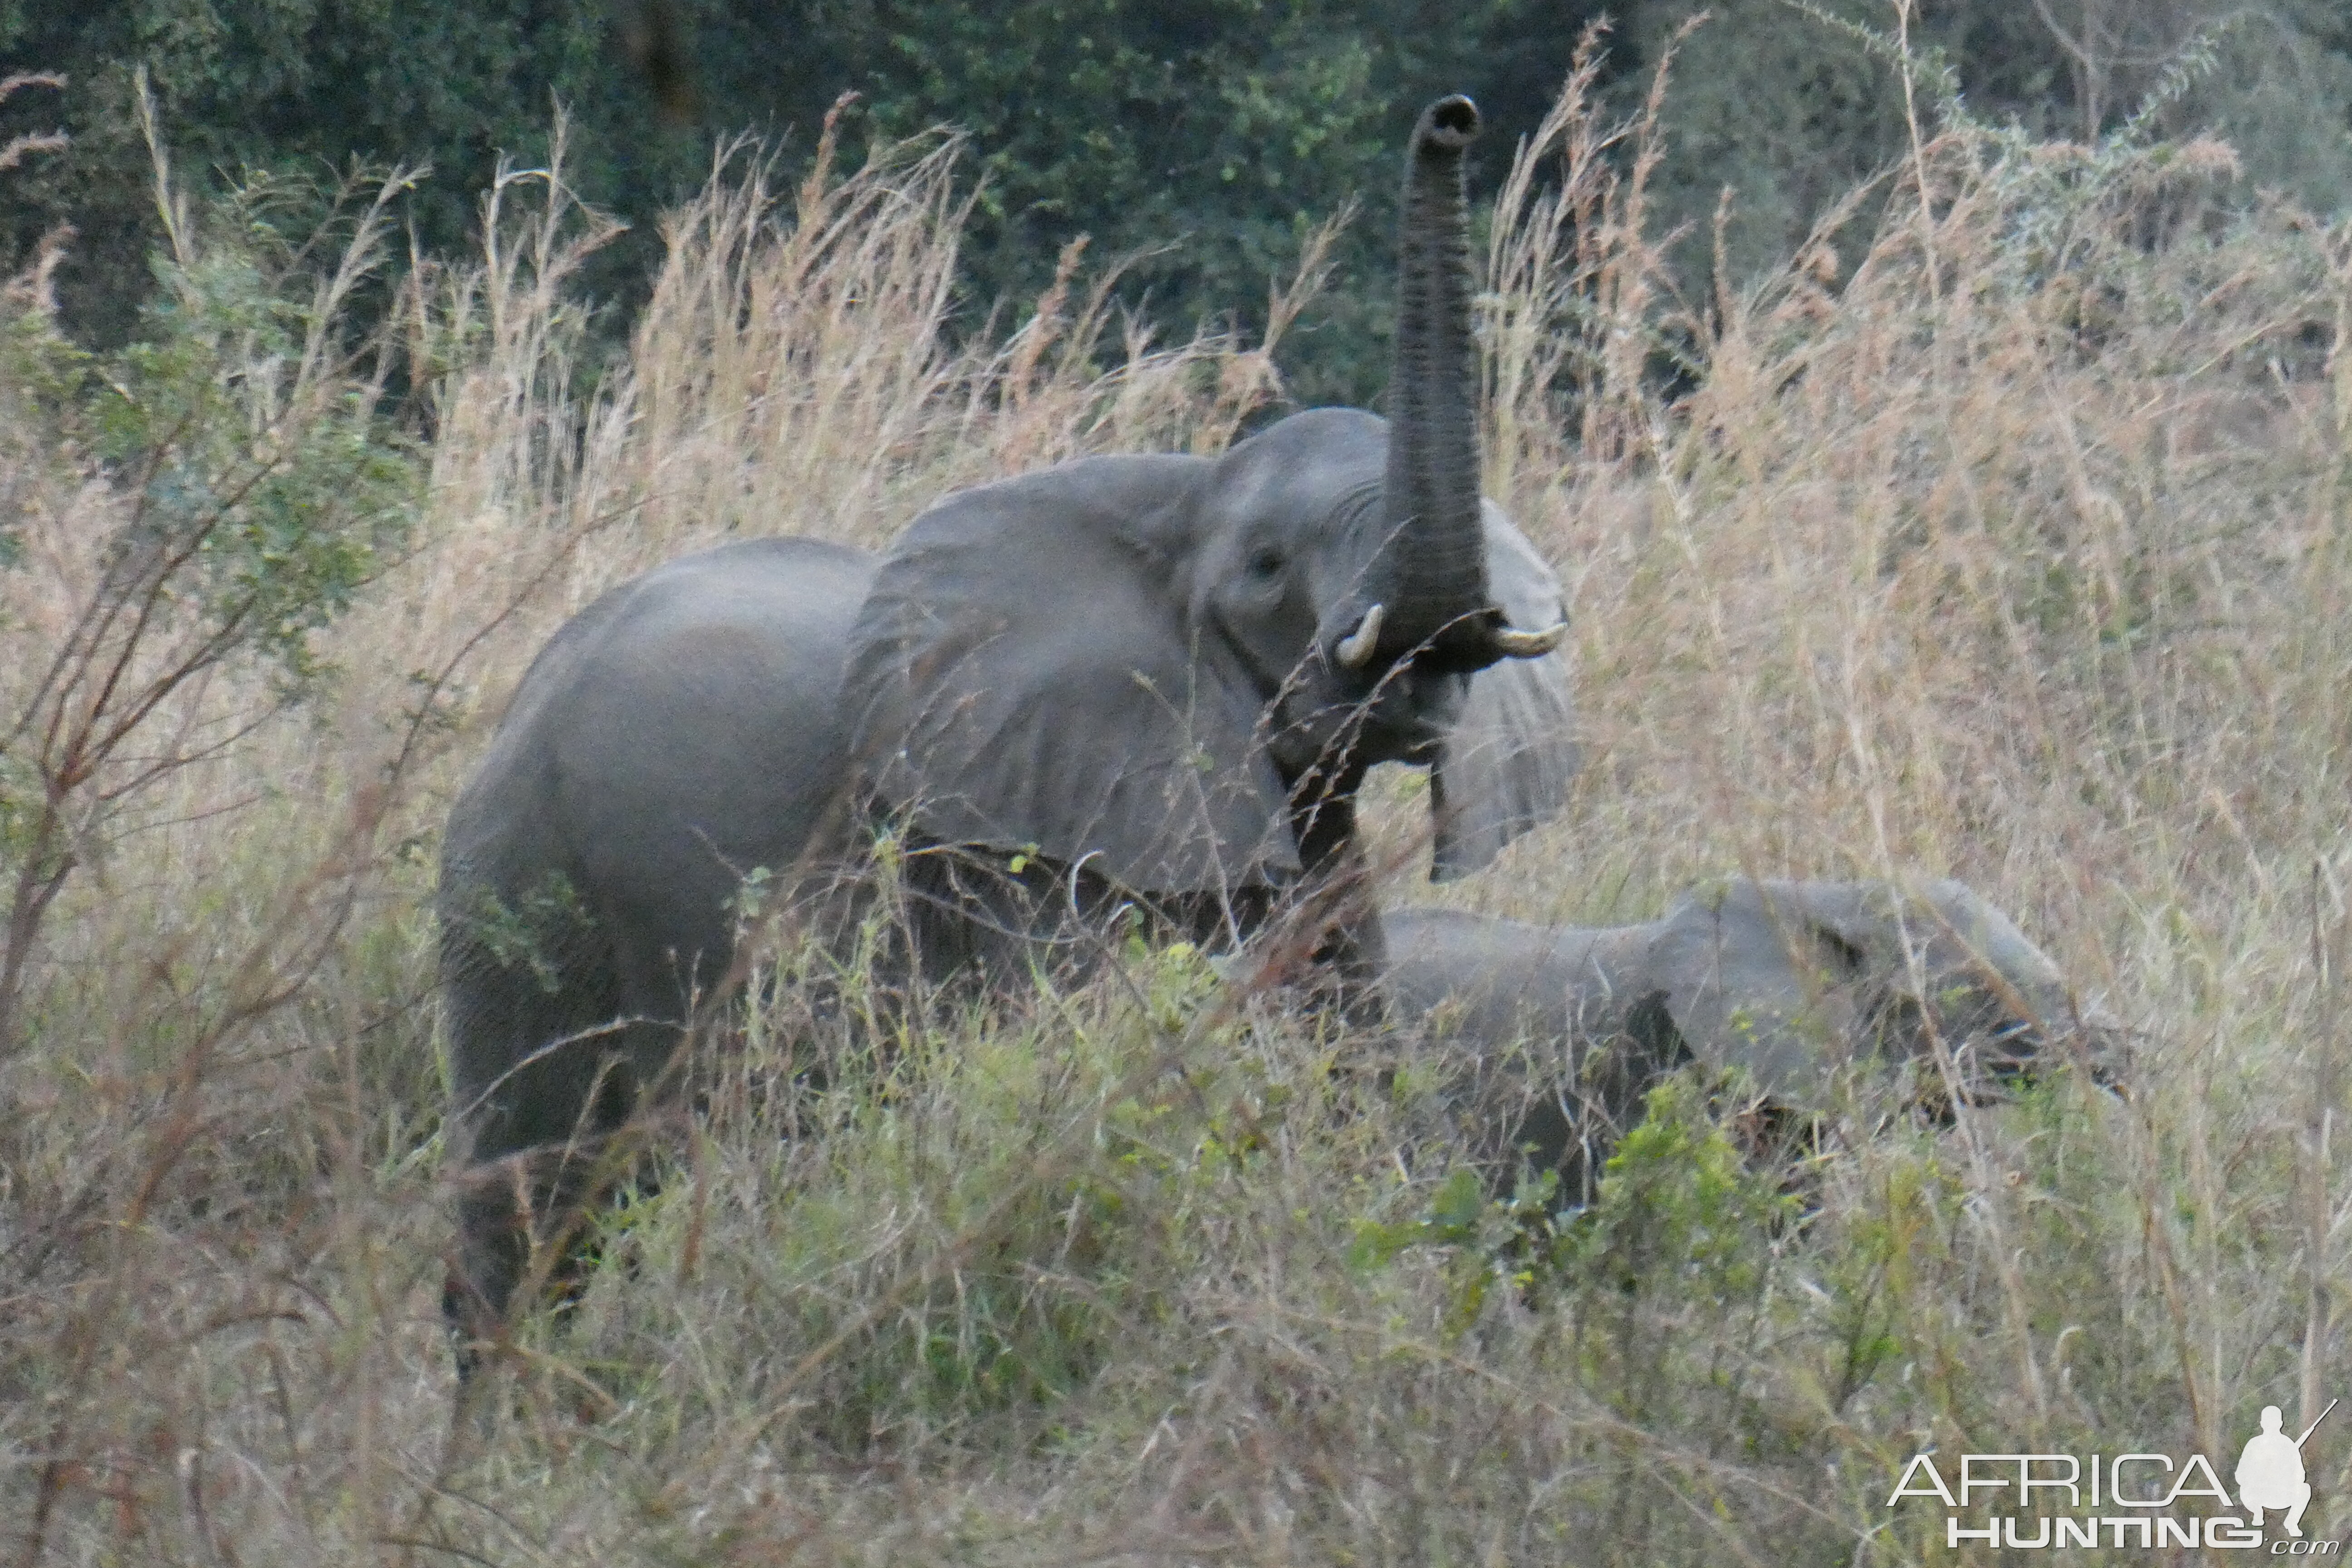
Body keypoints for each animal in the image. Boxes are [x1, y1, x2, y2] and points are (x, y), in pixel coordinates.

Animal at [440, 95, 1580, 1354]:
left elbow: (1345, 1056)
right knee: (537, 1199)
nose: (1453, 118)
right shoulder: (1025, 849)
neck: (1173, 497)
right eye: (1267, 568)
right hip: (529, 885)